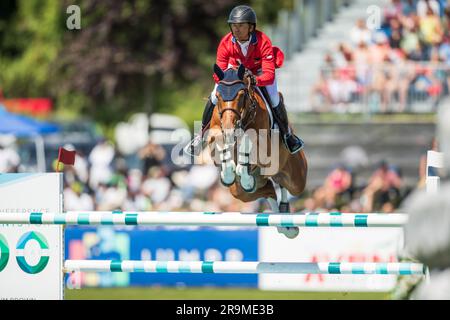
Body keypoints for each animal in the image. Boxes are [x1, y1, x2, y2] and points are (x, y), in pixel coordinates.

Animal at [205, 63, 308, 238]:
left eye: (241, 95)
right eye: (218, 96)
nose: (229, 129)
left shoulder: (264, 147)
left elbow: (247, 142)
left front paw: (242, 172)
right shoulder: (215, 133)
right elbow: (220, 144)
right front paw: (228, 173)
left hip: (296, 179)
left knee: (284, 184)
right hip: (241, 192)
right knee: (269, 190)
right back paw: (284, 225)